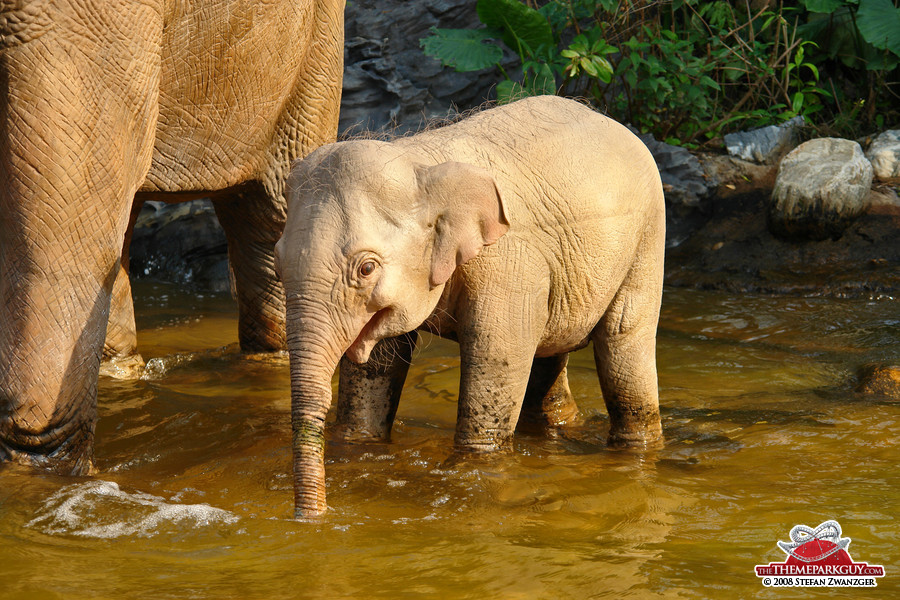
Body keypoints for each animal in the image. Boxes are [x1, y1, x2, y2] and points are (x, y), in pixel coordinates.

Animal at [278, 94, 664, 516]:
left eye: (366, 268)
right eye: (277, 261)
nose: (310, 518)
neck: (421, 164)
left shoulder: (508, 263)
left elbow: (498, 354)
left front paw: (474, 470)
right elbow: (379, 363)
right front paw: (359, 447)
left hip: (647, 238)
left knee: (623, 342)